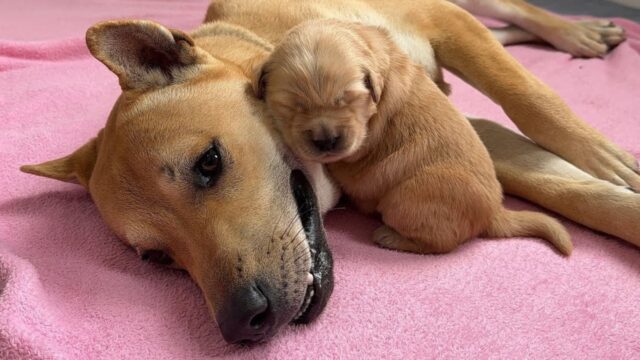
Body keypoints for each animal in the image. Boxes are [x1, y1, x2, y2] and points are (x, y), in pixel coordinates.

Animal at [252, 19, 572, 255]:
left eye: (348, 99)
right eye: (294, 106)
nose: (326, 141)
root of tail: (494, 213)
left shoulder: (359, 141)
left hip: (405, 199)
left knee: (440, 243)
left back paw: (390, 237)